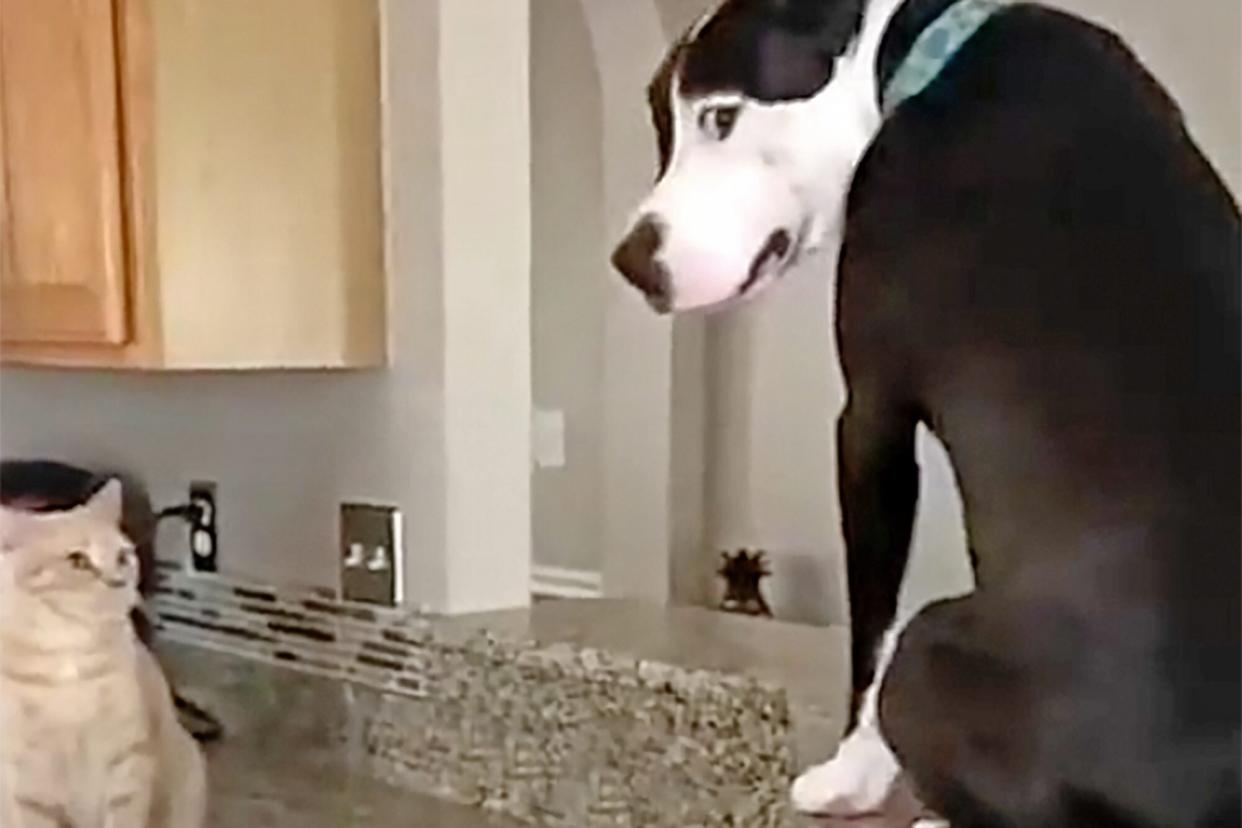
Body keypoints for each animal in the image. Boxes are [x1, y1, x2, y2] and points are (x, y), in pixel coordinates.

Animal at [613, 1, 1242, 828]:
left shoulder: (870, 417)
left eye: (722, 116)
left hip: (930, 643)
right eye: (664, 127)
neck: (914, 56)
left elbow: (869, 634)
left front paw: (849, 772)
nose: (628, 262)